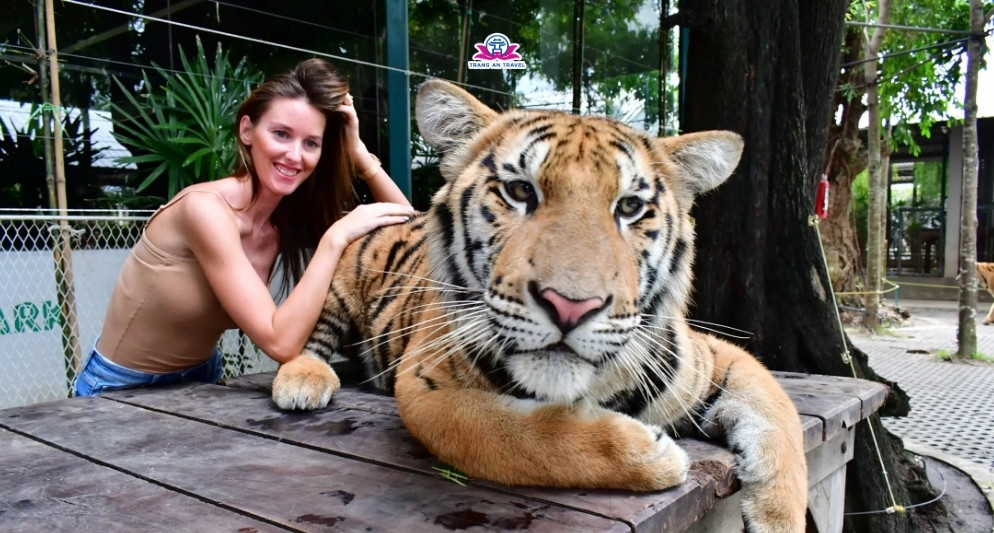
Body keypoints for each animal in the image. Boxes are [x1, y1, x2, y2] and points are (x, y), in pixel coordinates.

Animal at [271, 79, 807, 533]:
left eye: (630, 207)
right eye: (520, 191)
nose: (569, 306)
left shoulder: (716, 357)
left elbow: (781, 420)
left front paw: (778, 516)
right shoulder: (427, 385)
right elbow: (513, 436)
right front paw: (651, 454)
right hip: (336, 279)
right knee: (308, 339)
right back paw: (302, 382)